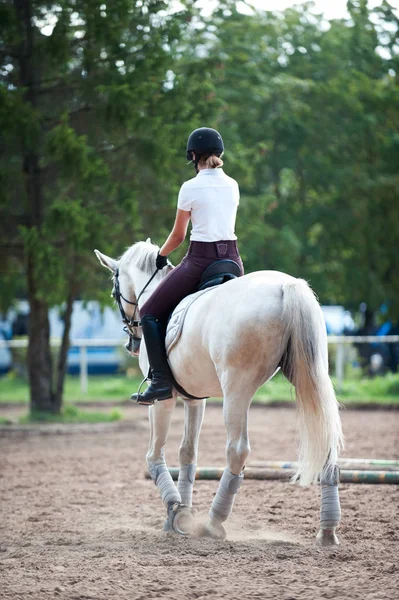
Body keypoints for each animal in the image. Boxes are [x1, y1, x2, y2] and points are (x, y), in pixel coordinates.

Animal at [96, 239, 344, 544]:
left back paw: (214, 523)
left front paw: (176, 510)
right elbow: (187, 454)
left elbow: (154, 455)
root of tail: (287, 287)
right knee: (327, 440)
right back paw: (327, 531)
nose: (131, 343)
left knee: (237, 450)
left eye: (114, 292)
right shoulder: (194, 400)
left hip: (237, 389)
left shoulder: (162, 401)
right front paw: (180, 514)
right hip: (310, 375)